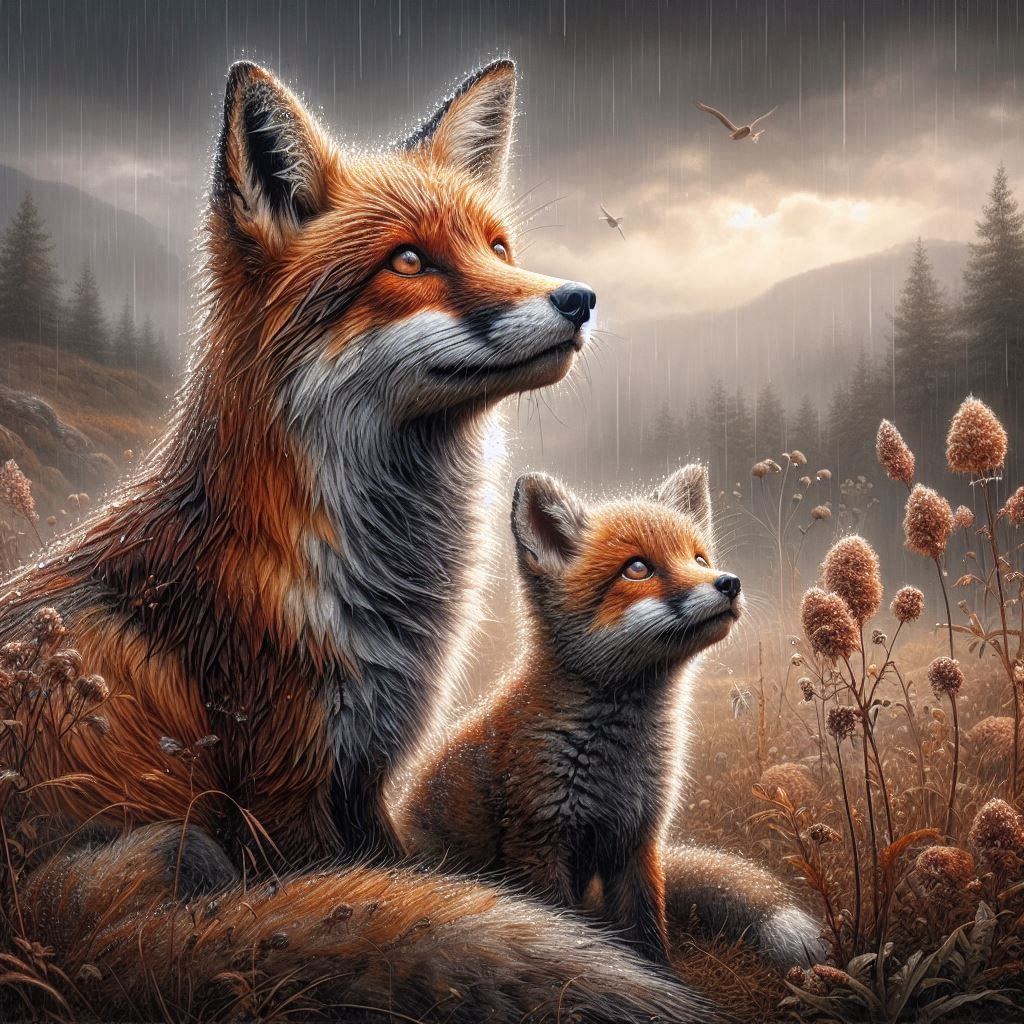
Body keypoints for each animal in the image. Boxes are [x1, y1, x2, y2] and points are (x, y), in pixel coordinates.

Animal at [0, 59, 723, 1023]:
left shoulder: (368, 776)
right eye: (408, 261)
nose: (578, 298)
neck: (375, 591)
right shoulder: (283, 781)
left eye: (498, 248)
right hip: (175, 851)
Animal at [400, 466, 822, 968]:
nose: (729, 583)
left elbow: (647, 930)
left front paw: (661, 978)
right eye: (637, 568)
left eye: (699, 558)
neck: (618, 764)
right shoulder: (538, 843)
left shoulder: (638, 842)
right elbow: (566, 933)